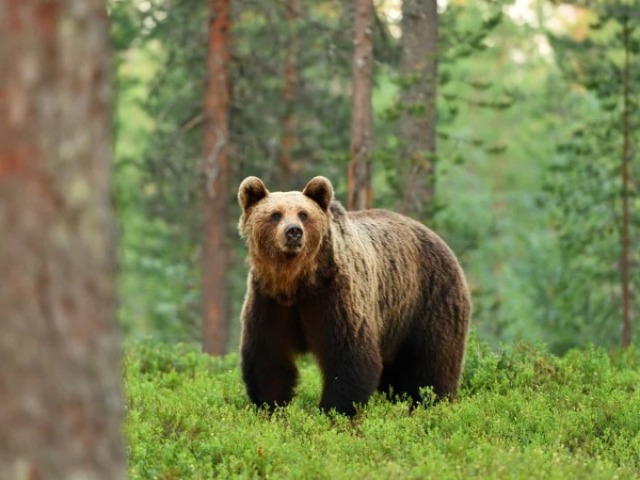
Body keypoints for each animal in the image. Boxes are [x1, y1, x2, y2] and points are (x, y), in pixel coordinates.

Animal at [235, 176, 470, 416]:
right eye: (275, 214)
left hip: (429, 299)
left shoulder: (334, 297)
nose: (293, 231)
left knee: (433, 363)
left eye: (303, 214)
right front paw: (271, 407)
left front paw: (334, 412)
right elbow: (269, 359)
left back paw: (432, 404)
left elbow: (349, 357)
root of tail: (439, 240)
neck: (297, 283)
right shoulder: (269, 302)